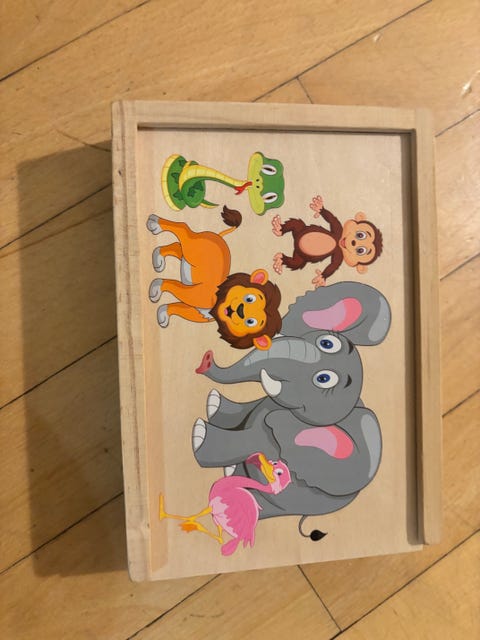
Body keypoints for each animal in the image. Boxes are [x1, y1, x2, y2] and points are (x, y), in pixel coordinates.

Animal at [191, 281, 391, 522]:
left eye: (323, 379)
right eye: (327, 343)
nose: (206, 359)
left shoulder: (277, 435)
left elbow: (250, 440)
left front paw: (199, 433)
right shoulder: (265, 405)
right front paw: (212, 407)